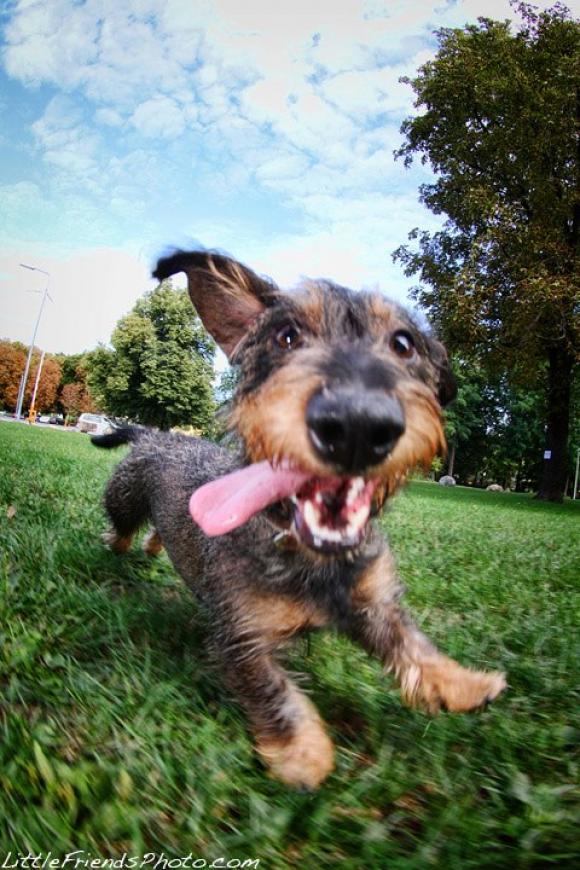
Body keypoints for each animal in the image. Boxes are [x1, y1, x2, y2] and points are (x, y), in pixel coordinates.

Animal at [93, 249, 506, 792]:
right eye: (286, 336)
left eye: (403, 343)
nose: (357, 424)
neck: (309, 553)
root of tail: (156, 435)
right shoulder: (242, 638)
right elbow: (277, 692)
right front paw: (302, 753)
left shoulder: (374, 606)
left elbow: (413, 645)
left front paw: (462, 683)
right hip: (123, 496)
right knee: (121, 526)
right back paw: (117, 548)